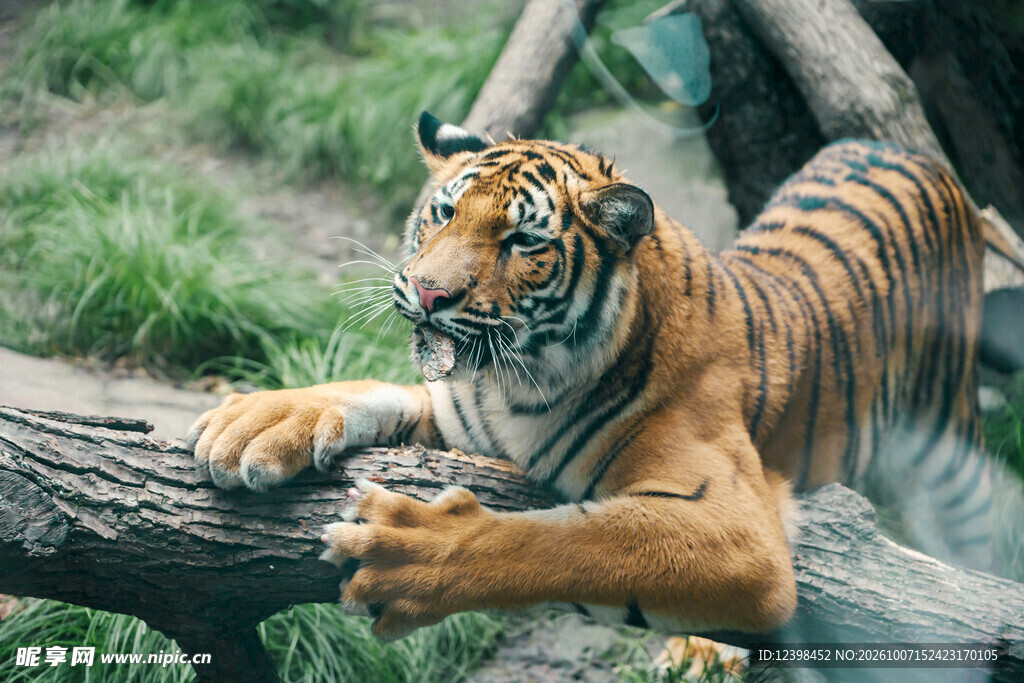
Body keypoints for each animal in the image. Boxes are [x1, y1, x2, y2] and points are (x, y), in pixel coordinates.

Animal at [185, 110, 1006, 640]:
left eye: (521, 242)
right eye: (444, 213)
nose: (425, 292)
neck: (519, 385)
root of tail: (907, 151)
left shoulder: (737, 527)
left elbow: (567, 544)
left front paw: (406, 555)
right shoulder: (461, 421)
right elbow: (372, 389)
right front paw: (255, 421)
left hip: (949, 453)